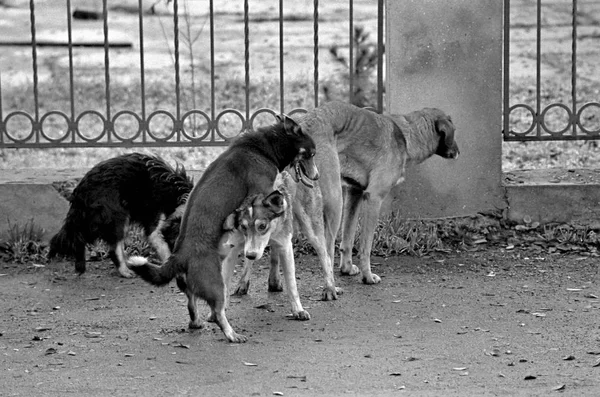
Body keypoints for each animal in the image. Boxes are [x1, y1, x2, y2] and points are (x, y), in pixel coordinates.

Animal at [50, 152, 195, 276]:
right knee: (114, 248)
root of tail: (80, 193)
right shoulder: (156, 219)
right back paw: (125, 270)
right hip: (116, 214)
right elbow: (161, 243)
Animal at [223, 172, 312, 320]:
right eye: (243, 226)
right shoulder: (233, 247)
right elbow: (224, 283)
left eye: (262, 226)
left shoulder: (285, 245)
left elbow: (292, 283)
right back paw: (244, 283)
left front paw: (298, 310)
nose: (251, 254)